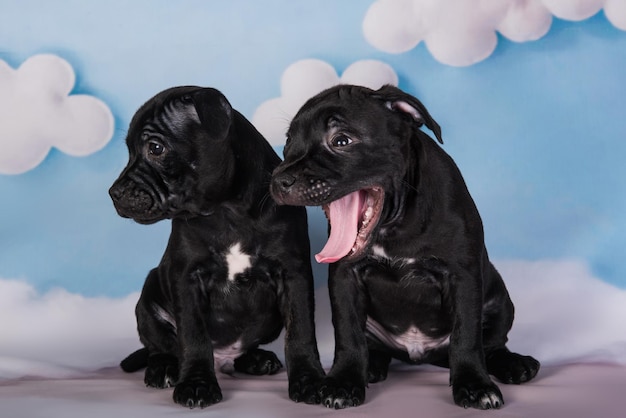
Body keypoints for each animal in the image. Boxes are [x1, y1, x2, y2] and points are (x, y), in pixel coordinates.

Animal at [108, 85, 322, 408]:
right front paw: (196, 384)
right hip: (148, 298)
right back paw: (163, 369)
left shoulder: (293, 274)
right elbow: (193, 338)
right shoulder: (187, 278)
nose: (114, 193)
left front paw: (309, 379)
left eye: (155, 148)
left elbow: (301, 332)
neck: (227, 210)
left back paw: (257, 360)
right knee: (162, 347)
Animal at [270, 84, 540, 408]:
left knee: (493, 345)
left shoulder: (463, 277)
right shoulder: (345, 278)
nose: (278, 180)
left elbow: (467, 337)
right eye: (288, 143)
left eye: (341, 140)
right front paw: (344, 381)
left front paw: (474, 384)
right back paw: (371, 366)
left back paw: (514, 364)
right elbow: (348, 335)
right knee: (373, 346)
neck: (396, 224)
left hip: (501, 300)